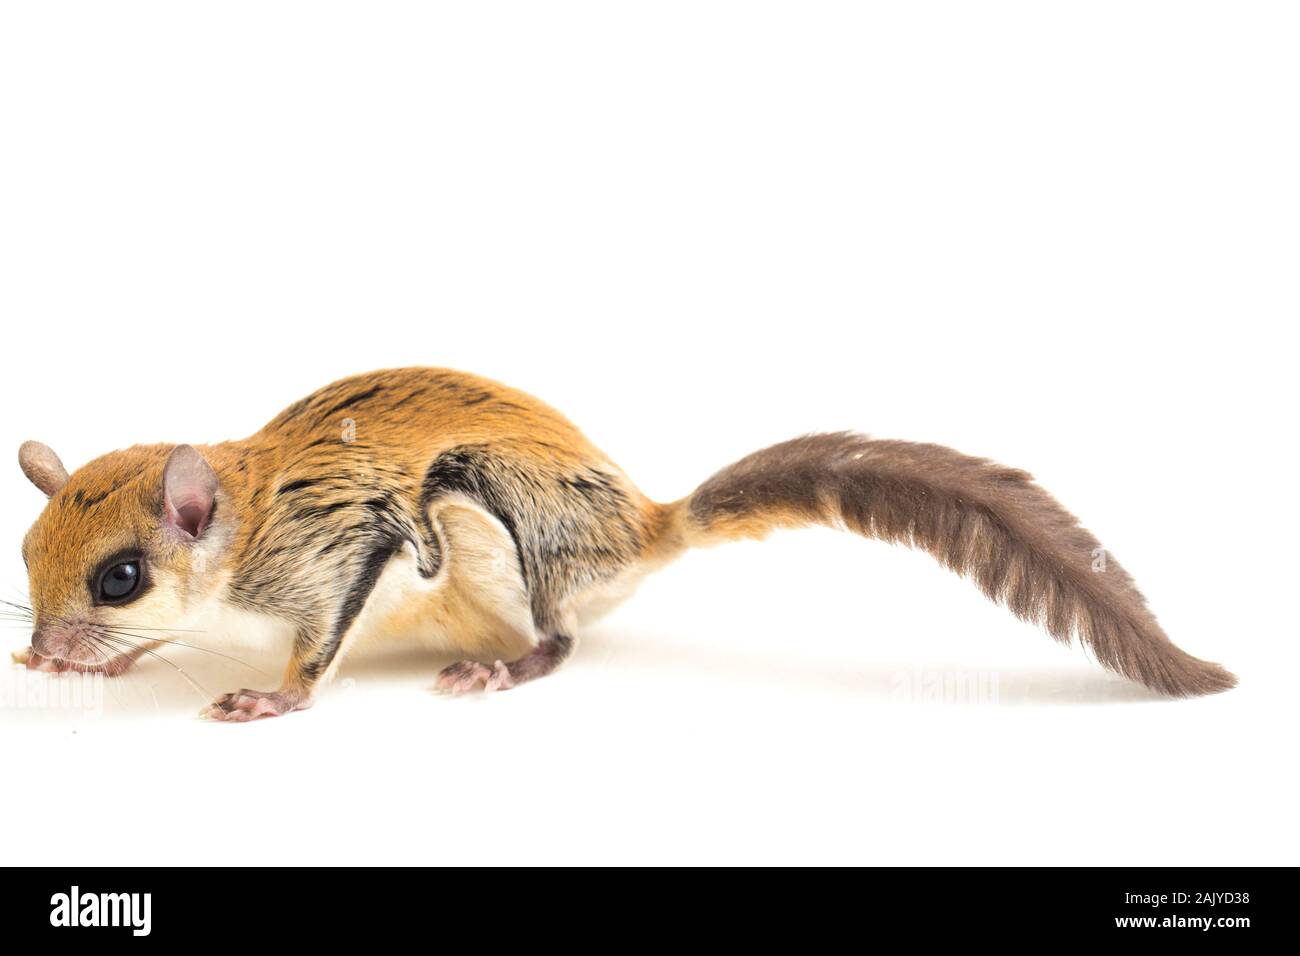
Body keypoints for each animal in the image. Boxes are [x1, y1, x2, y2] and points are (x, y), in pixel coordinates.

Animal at [10, 366, 1232, 717]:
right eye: (25, 557)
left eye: (121, 577)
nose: (35, 653)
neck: (247, 522)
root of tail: (643, 522)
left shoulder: (345, 550)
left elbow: (321, 645)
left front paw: (272, 697)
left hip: (482, 513)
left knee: (559, 640)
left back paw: (498, 668)